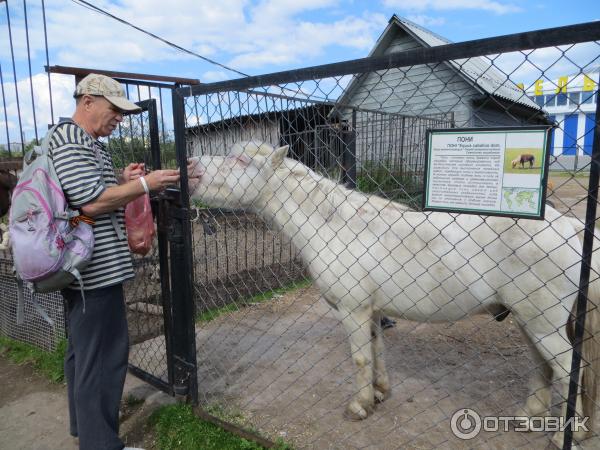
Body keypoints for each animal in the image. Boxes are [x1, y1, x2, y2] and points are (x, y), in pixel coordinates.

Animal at [189, 142, 600, 446]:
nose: (190, 168)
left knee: (568, 367)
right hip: (529, 321)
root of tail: (569, 225)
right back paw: (529, 417)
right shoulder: (371, 311)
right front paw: (379, 393)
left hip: (543, 324)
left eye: (241, 160)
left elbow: (359, 359)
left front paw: (359, 407)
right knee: (543, 365)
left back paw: (569, 434)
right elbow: (377, 352)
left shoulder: (352, 310)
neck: (336, 226)